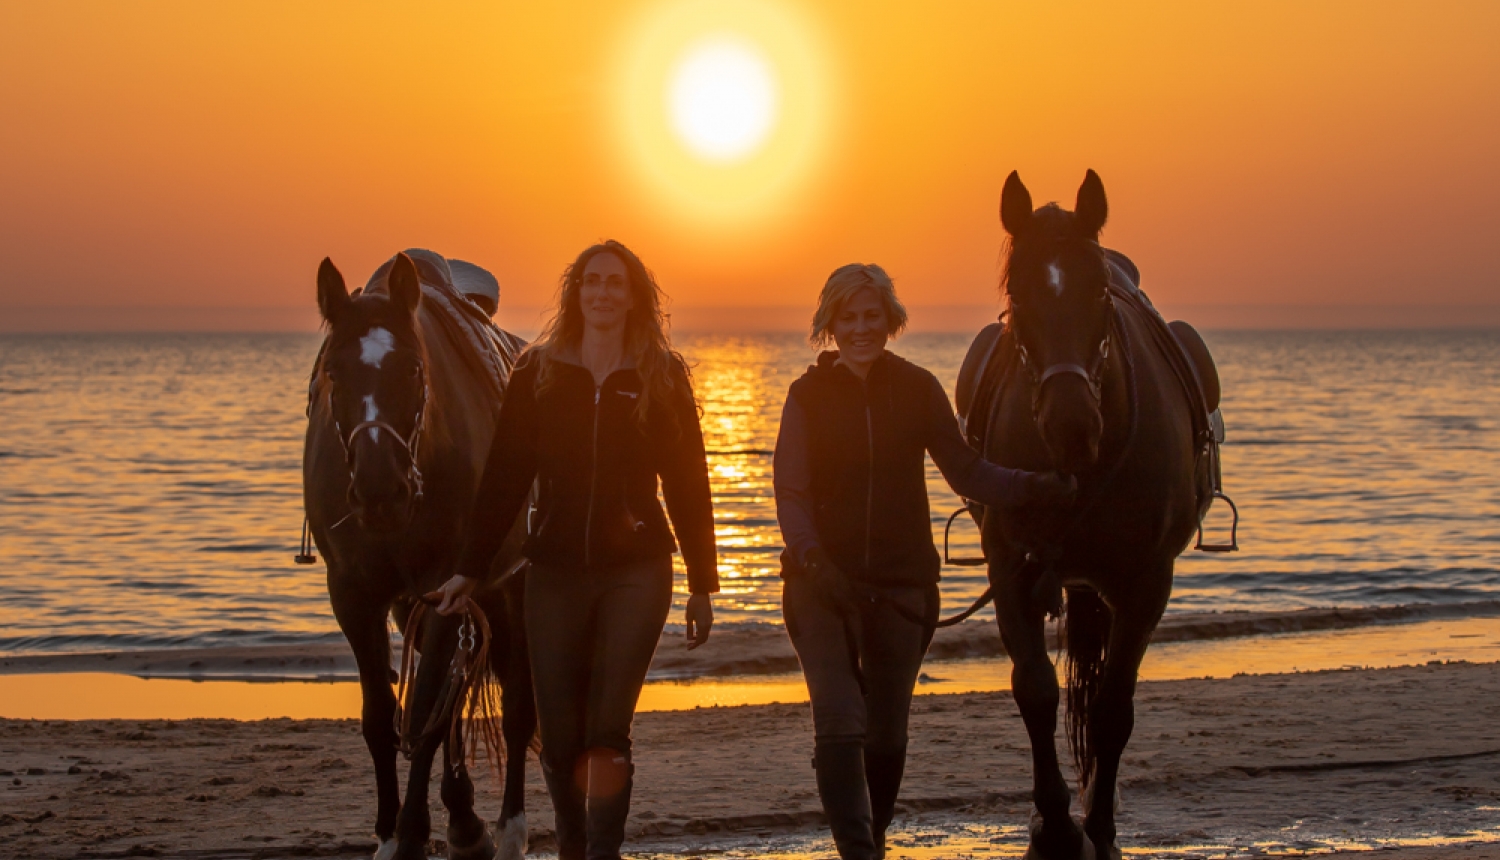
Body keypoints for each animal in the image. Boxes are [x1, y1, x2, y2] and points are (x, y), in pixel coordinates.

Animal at [304, 252, 540, 852]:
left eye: (413, 369)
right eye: (334, 371)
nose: (378, 488)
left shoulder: (443, 590)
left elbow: (424, 713)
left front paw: (411, 834)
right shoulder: (355, 595)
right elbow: (382, 716)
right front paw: (390, 835)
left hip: (511, 588)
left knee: (516, 709)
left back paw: (505, 829)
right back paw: (463, 819)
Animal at [960, 172, 1218, 858]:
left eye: (1098, 291)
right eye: (1017, 293)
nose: (1072, 426)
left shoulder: (1147, 581)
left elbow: (1111, 708)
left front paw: (1099, 828)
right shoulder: (1011, 570)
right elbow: (1035, 689)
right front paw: (1052, 826)